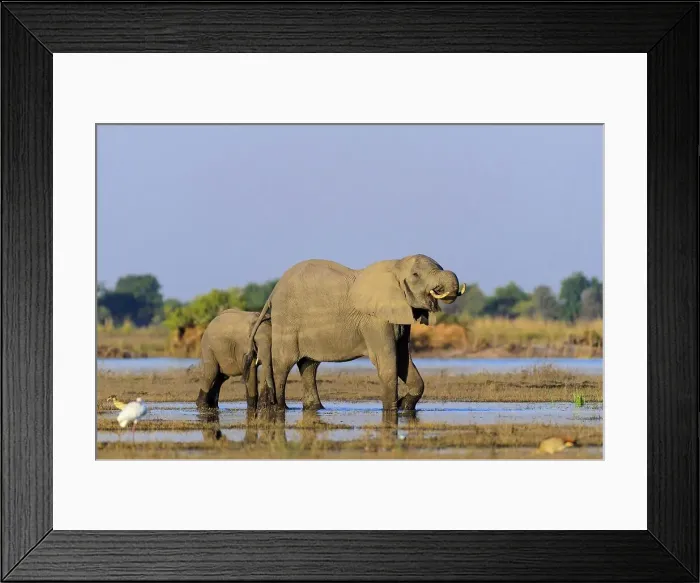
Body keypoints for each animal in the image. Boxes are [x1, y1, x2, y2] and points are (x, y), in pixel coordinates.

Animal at [243, 254, 465, 412]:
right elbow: (387, 362)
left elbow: (403, 359)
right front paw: (391, 410)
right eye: (416, 276)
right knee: (283, 364)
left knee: (309, 365)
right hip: (287, 320)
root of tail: (274, 290)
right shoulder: (374, 320)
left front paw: (404, 405)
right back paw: (279, 408)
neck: (395, 265)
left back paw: (314, 408)